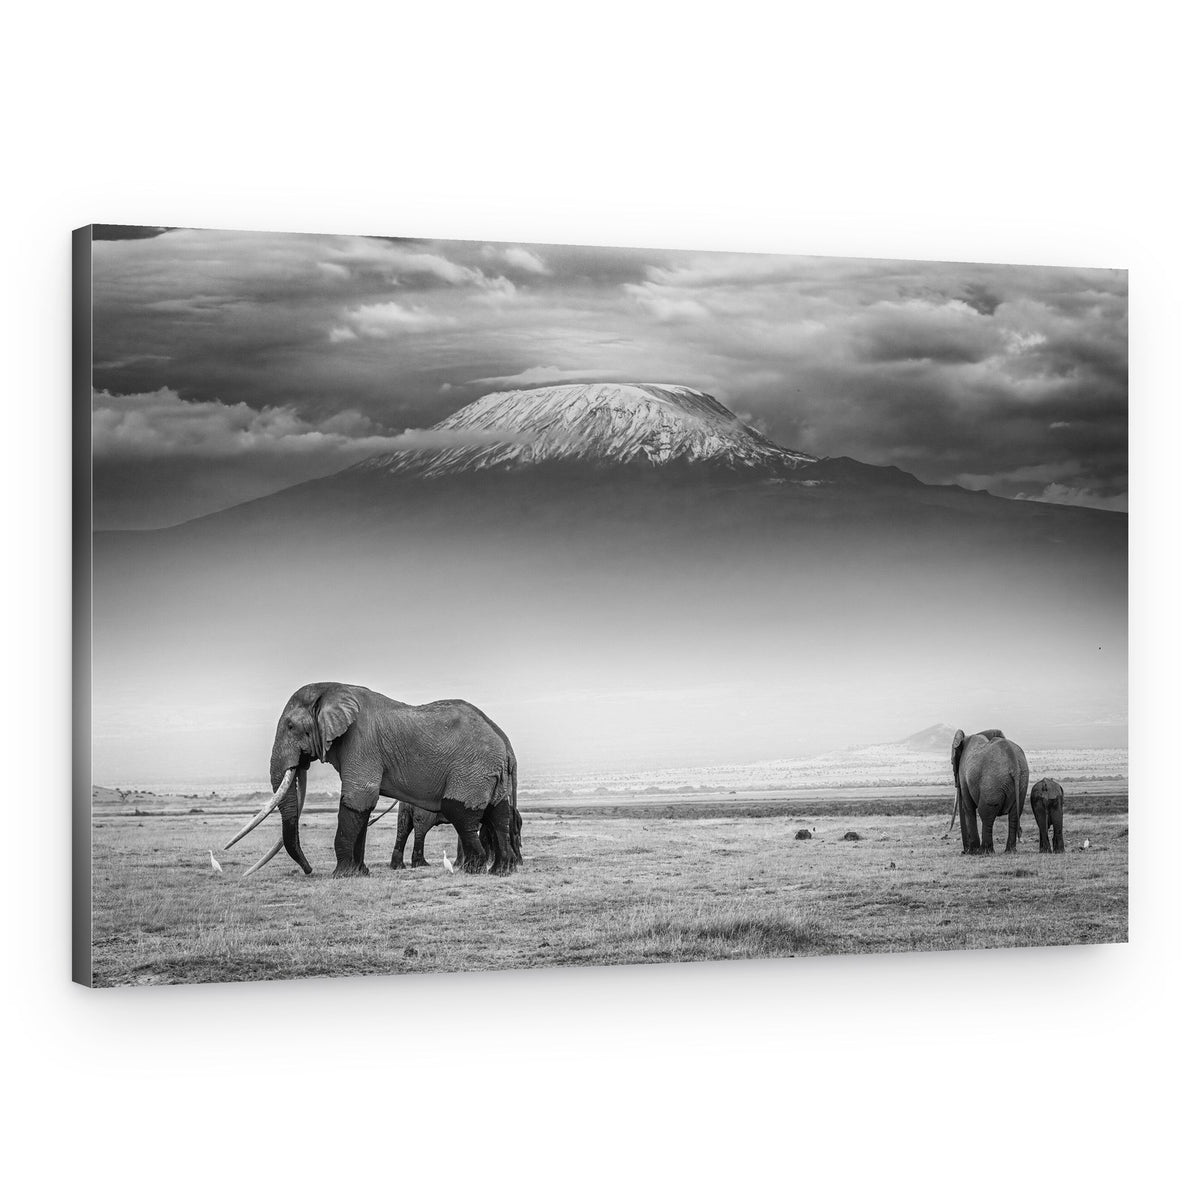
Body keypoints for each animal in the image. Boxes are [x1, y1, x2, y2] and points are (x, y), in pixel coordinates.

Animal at [224, 682, 522, 879]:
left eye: (290, 726)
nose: (309, 871)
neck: (332, 689)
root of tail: (506, 744)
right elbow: (362, 808)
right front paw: (360, 873)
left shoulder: (360, 743)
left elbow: (358, 799)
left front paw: (341, 875)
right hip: (490, 773)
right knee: (498, 814)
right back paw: (502, 870)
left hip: (472, 769)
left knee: (461, 812)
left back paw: (473, 870)